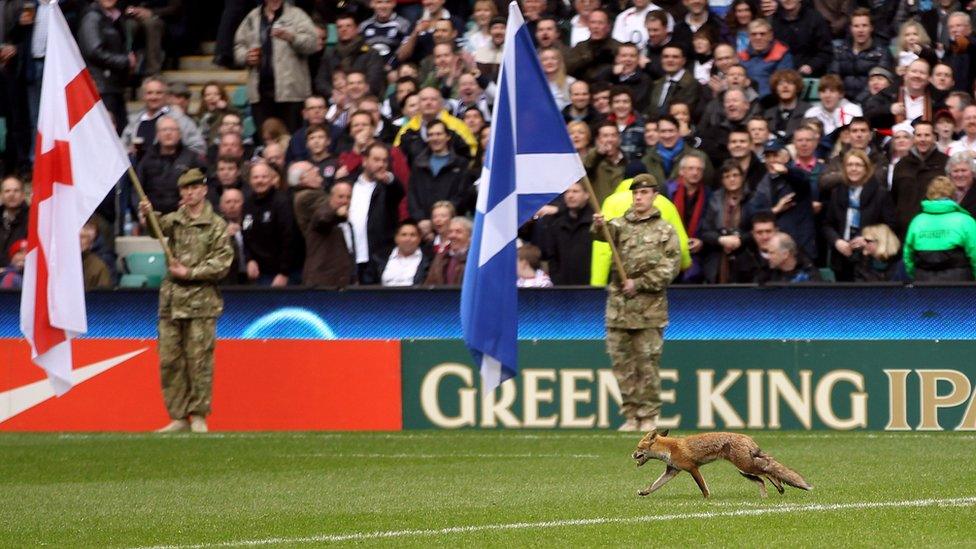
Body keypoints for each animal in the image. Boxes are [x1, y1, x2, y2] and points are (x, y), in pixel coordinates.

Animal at [628, 428, 812, 496]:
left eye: (638, 447)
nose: (632, 455)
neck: (670, 448)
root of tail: (747, 438)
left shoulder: (692, 468)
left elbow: (703, 488)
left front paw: (707, 500)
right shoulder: (672, 471)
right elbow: (654, 485)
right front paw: (644, 492)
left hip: (745, 465)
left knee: (768, 471)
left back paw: (778, 487)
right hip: (745, 469)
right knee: (762, 478)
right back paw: (769, 494)